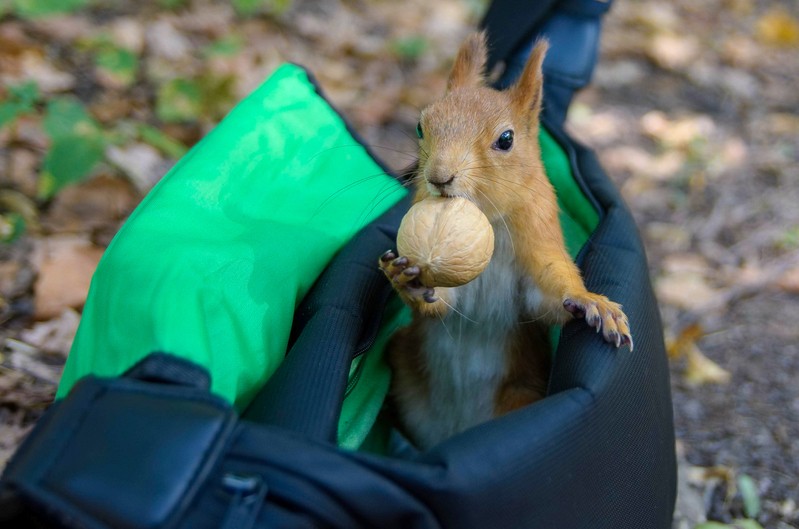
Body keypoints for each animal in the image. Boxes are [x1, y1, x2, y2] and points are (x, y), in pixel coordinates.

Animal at [378, 31, 636, 448]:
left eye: (506, 139)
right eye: (420, 126)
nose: (439, 177)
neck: (490, 222)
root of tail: (451, 431)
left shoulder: (537, 249)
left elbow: (549, 297)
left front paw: (590, 302)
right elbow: (443, 305)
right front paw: (408, 282)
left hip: (520, 393)